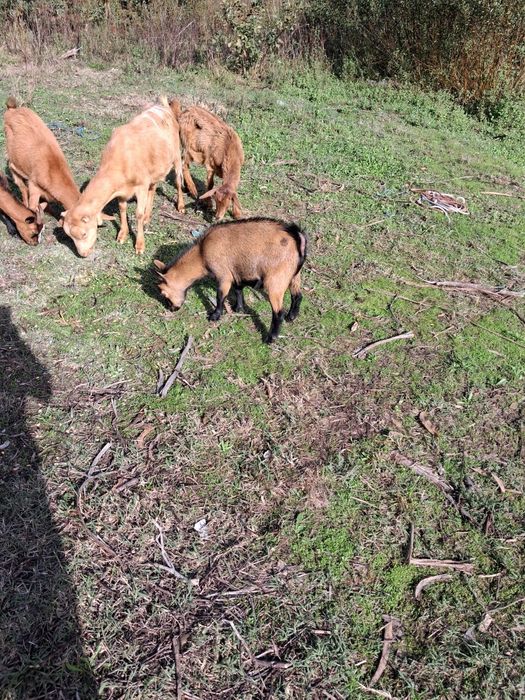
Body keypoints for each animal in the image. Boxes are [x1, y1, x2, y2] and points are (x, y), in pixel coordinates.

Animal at [62, 98, 185, 257]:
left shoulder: (141, 186)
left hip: (176, 155)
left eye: (83, 234)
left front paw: (140, 245)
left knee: (178, 180)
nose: (82, 254)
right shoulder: (122, 190)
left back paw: (180, 206)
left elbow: (138, 214)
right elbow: (122, 209)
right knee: (153, 188)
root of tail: (163, 107)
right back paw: (148, 216)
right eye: (69, 236)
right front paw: (122, 234)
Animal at [154, 217, 306, 343]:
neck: (201, 253)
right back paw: (291, 316)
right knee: (297, 295)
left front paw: (215, 316)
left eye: (163, 293)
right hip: (293, 275)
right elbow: (238, 289)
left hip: (275, 280)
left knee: (278, 312)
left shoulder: (224, 275)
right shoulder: (237, 271)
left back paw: (271, 338)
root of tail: (297, 236)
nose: (172, 308)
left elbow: (220, 296)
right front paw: (238, 308)